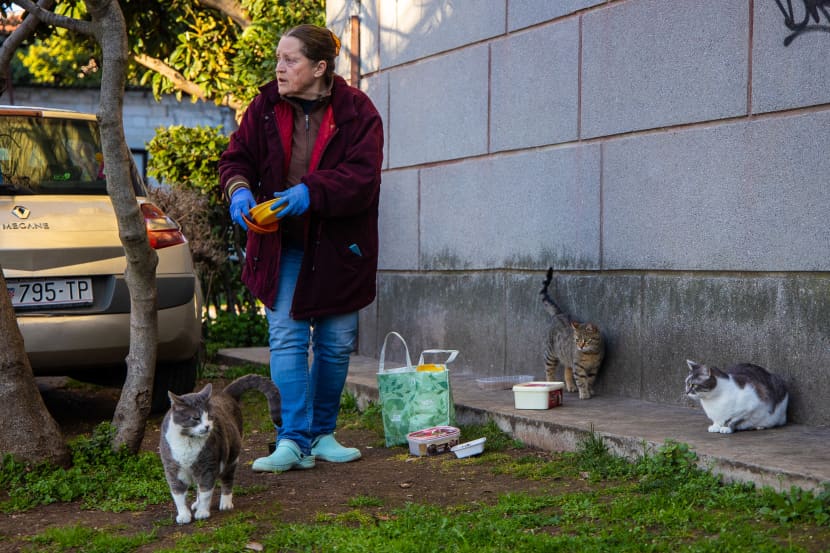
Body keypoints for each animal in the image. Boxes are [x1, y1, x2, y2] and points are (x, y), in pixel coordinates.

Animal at [159, 374, 282, 524]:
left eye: (210, 416)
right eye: (196, 418)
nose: (207, 427)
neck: (188, 440)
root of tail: (225, 393)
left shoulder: (208, 466)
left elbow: (206, 492)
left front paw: (203, 512)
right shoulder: (172, 468)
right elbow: (178, 495)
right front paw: (183, 515)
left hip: (231, 458)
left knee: (226, 480)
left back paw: (225, 503)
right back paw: (196, 503)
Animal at [540, 266, 604, 396]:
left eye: (586, 340)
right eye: (577, 340)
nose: (580, 346)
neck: (590, 353)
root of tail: (559, 314)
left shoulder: (595, 367)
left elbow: (590, 379)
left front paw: (589, 389)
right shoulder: (578, 366)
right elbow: (581, 380)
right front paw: (584, 393)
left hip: (567, 356)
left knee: (567, 369)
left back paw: (571, 386)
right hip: (550, 354)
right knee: (549, 370)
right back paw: (550, 383)